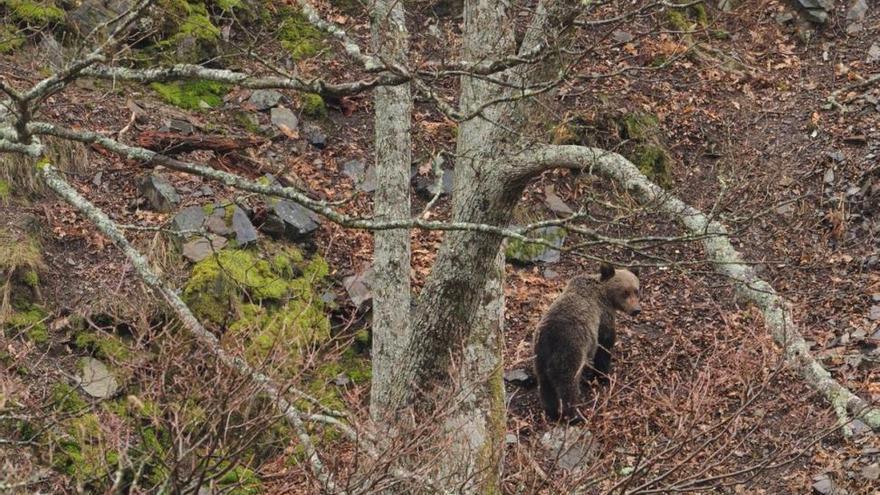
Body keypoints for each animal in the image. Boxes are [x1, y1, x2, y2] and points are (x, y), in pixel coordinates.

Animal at [532, 264, 644, 422]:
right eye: (625, 292)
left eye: (636, 290)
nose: (636, 310)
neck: (604, 294)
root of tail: (550, 336)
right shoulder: (602, 317)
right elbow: (604, 345)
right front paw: (603, 375)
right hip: (570, 349)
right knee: (568, 384)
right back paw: (574, 415)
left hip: (540, 355)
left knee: (545, 384)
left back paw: (552, 412)